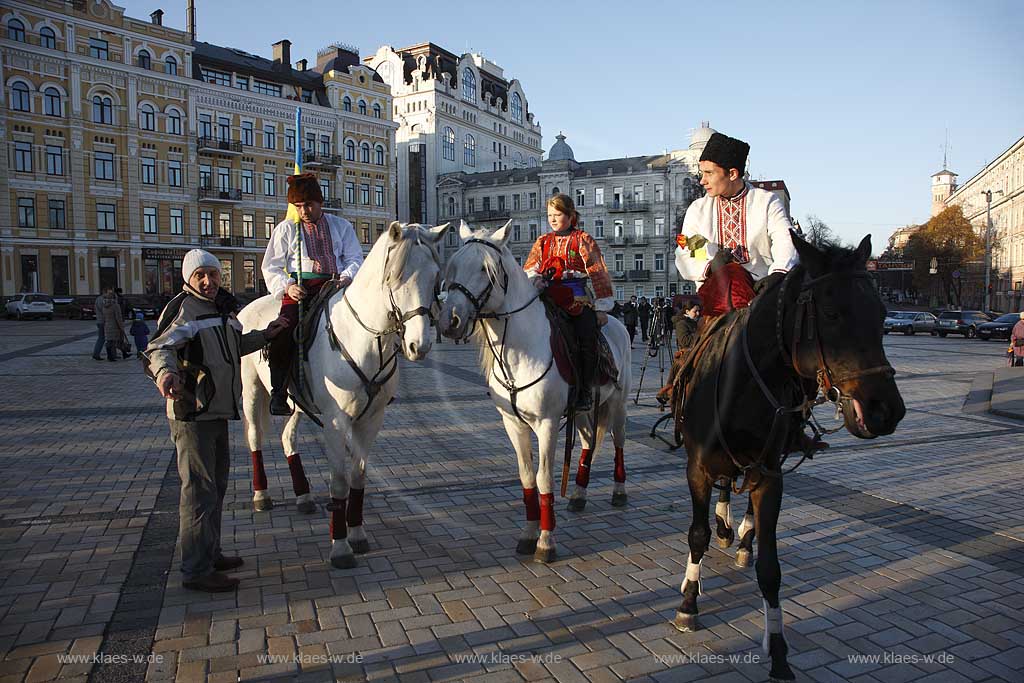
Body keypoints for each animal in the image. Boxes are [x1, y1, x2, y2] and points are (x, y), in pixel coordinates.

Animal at [241, 222, 450, 569]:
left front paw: (357, 534)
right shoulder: (337, 421)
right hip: (253, 391)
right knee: (255, 437)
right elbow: (338, 481)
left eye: (435, 276)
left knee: (287, 438)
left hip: (298, 404)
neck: (365, 340)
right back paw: (261, 496)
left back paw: (303, 496)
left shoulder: (372, 420)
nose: (419, 346)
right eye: (397, 277)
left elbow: (358, 476)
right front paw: (339, 546)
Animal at [438, 222, 630, 565]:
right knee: (587, 444)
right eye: (454, 266)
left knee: (619, 442)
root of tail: (617, 325)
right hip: (584, 410)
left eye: (486, 270)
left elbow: (544, 479)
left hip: (618, 404)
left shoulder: (547, 424)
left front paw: (546, 542)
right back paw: (578, 494)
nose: (450, 321)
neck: (521, 350)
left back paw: (619, 492)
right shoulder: (513, 424)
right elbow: (527, 477)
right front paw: (528, 536)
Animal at [671, 232, 905, 679]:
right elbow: (696, 535)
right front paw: (689, 603)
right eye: (830, 313)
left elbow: (770, 568)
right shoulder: (697, 469)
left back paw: (741, 537)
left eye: (883, 314)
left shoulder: (770, 475)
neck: (741, 384)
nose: (886, 411)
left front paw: (778, 651)